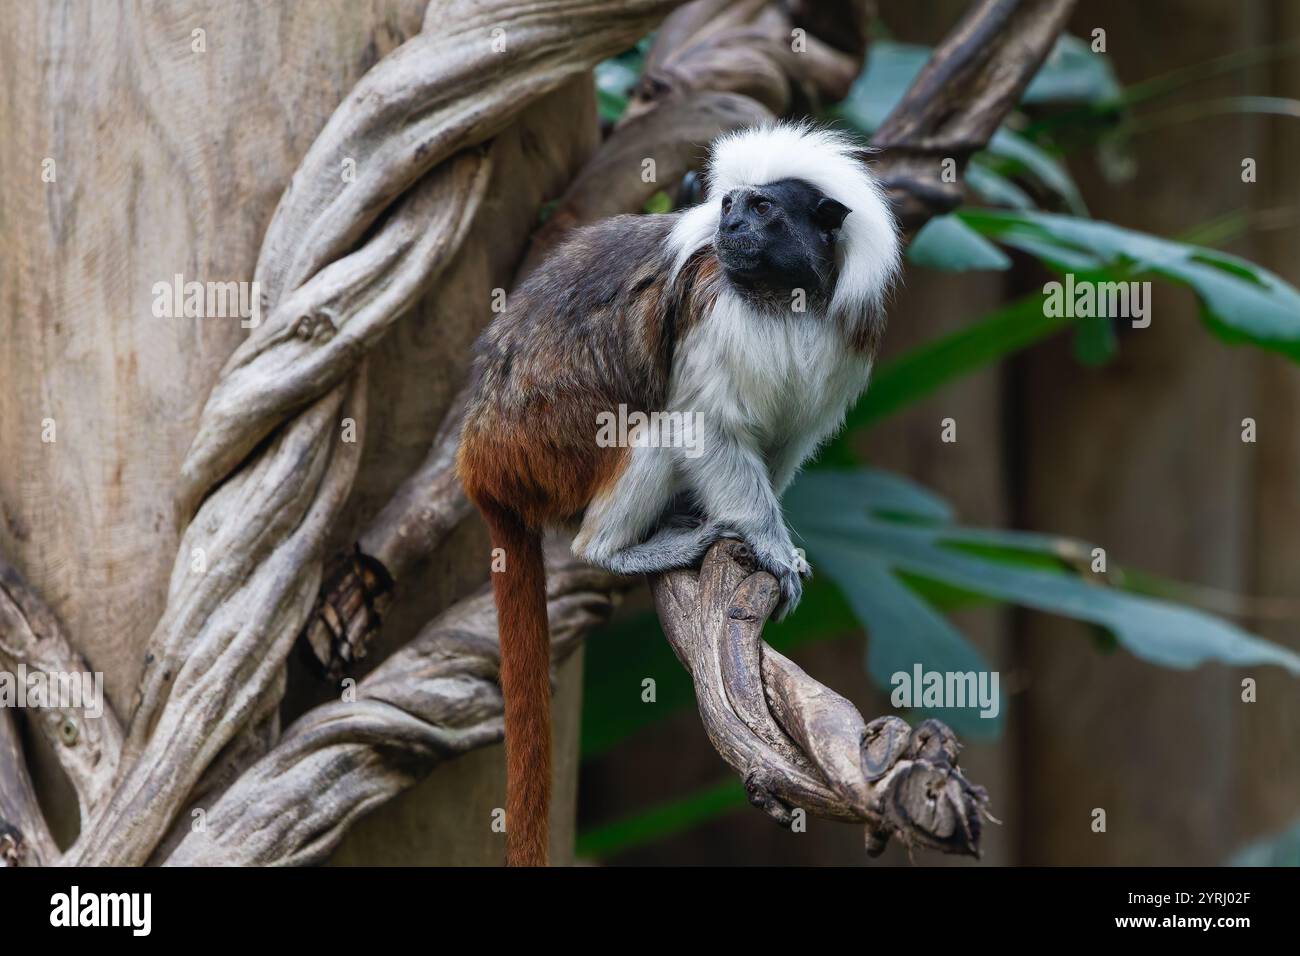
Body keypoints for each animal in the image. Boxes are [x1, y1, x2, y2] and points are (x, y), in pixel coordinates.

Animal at [457, 122, 900, 866]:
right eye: (729, 205)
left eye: (763, 209)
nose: (730, 227)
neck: (781, 299)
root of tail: (482, 453)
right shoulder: (712, 309)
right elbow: (705, 423)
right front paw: (769, 547)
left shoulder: (844, 338)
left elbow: (786, 437)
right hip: (551, 448)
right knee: (656, 425)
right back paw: (613, 551)